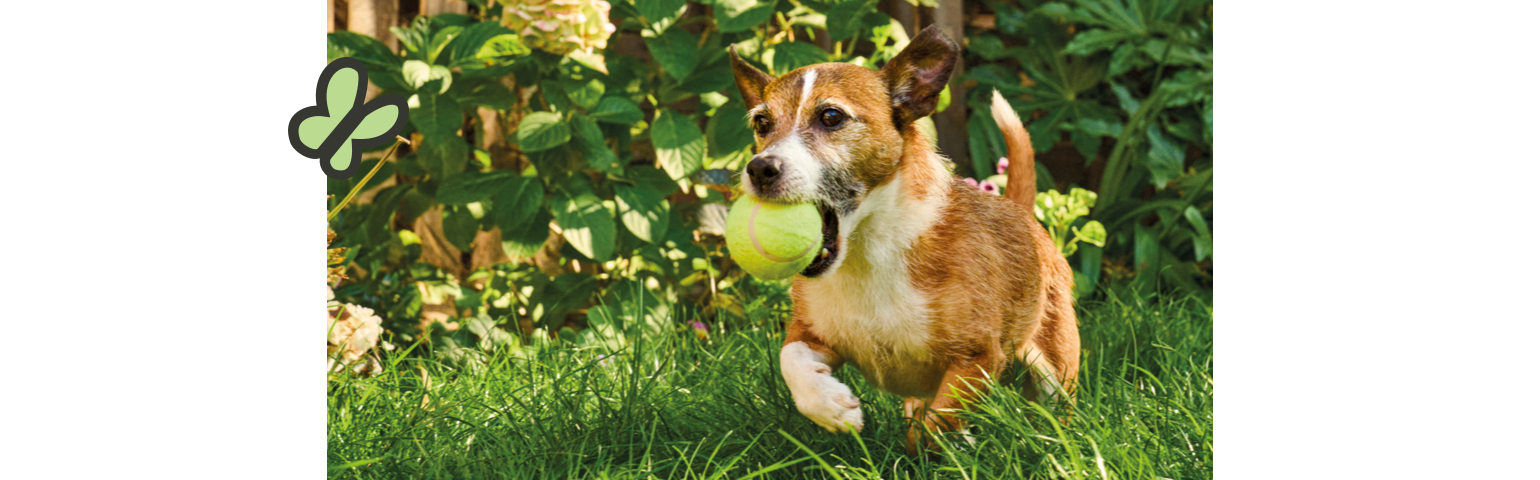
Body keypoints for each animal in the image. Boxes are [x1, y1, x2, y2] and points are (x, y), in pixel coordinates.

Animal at [729, 26, 1084, 452]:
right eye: (762, 122)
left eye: (831, 116)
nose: (760, 168)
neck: (867, 251)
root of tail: (1022, 213)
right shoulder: (812, 331)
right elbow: (792, 360)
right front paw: (830, 406)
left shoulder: (977, 357)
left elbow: (933, 427)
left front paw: (928, 451)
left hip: (1054, 362)